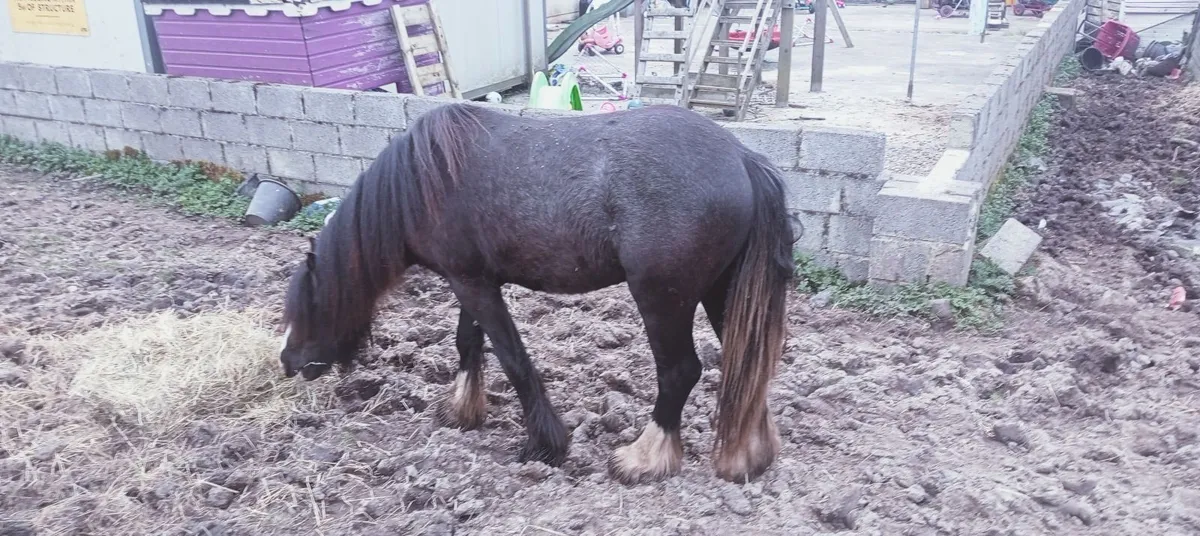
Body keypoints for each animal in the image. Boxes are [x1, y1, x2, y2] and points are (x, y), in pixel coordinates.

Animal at [279, 102, 795, 484]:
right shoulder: (472, 280)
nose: (288, 362)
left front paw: (544, 444)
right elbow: (469, 343)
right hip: (719, 293)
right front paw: (462, 409)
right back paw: (748, 456)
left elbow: (513, 360)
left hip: (663, 300)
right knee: (744, 365)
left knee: (680, 372)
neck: (424, 181)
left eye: (308, 306)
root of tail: (742, 159)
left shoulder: (472, 284)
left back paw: (643, 459)